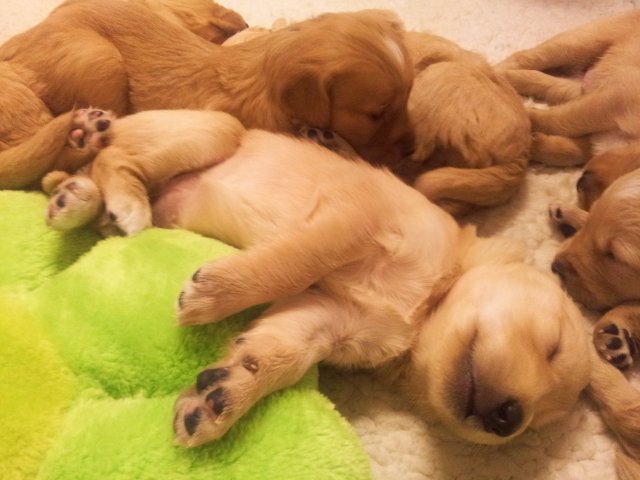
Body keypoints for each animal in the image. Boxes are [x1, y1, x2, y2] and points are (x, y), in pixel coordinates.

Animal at [0, 0, 415, 189]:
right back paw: (87, 132)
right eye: (375, 114)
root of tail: (16, 44)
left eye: (408, 96)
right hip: (99, 59)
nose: (412, 152)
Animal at [42, 108, 593, 450]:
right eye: (552, 347)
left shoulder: (325, 318)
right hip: (216, 129)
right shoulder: (356, 221)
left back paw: (77, 202)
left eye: (536, 423)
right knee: (111, 159)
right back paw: (119, 198)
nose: (508, 420)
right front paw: (214, 295)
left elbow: (277, 355)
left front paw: (222, 395)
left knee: (91, 180)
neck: (426, 303)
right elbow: (297, 260)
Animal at [496, 10, 640, 174]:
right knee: (522, 57)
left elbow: (570, 151)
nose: (584, 180)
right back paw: (493, 74)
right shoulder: (616, 99)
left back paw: (509, 79)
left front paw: (534, 144)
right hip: (578, 44)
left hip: (581, 84)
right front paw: (525, 118)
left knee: (547, 82)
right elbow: (560, 120)